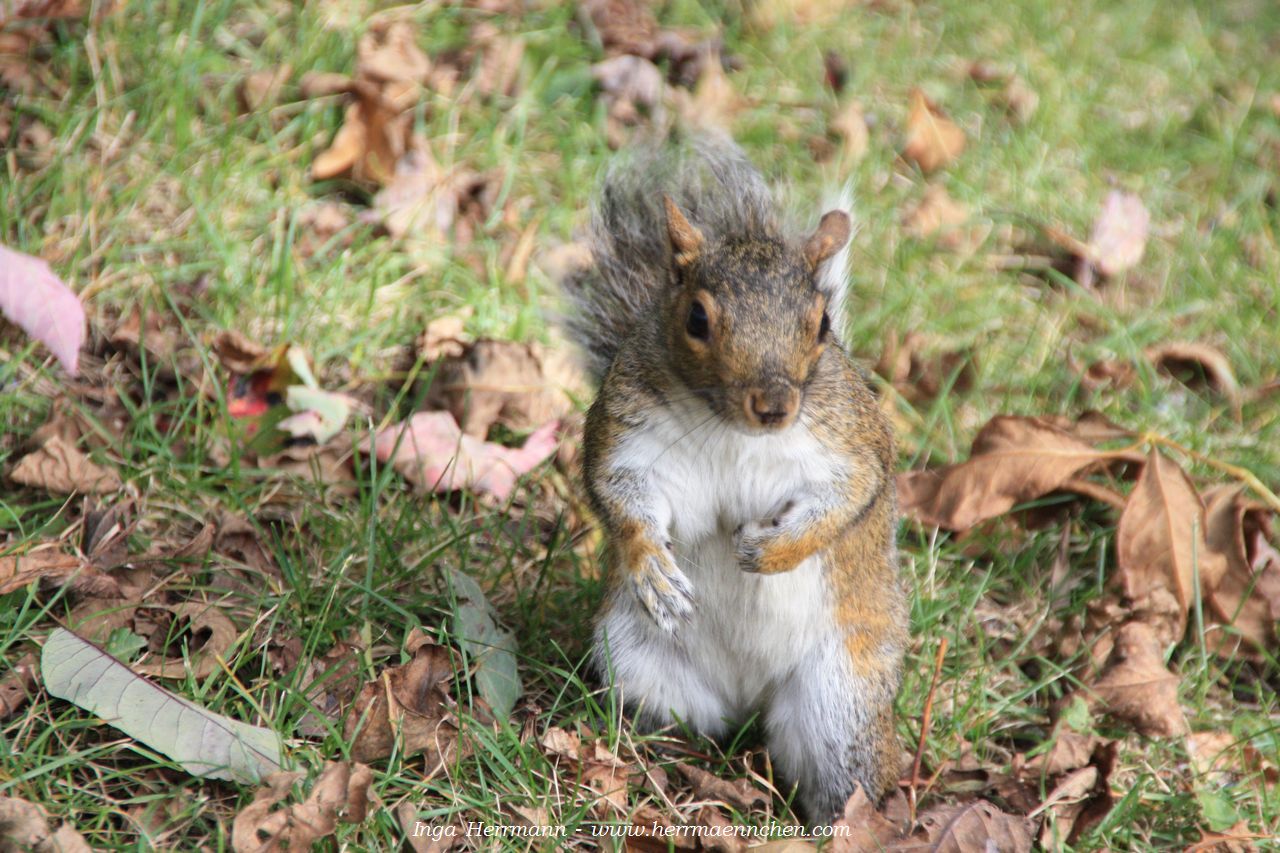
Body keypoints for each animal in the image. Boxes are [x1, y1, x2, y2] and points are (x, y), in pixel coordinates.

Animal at [560, 134, 911, 824]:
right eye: (696, 319)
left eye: (821, 324)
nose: (773, 405)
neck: (733, 431)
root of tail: (751, 695)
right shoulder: (627, 439)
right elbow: (621, 498)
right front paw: (652, 568)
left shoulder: (852, 444)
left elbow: (847, 500)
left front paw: (771, 551)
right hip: (641, 667)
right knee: (680, 726)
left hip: (842, 705)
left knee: (843, 776)